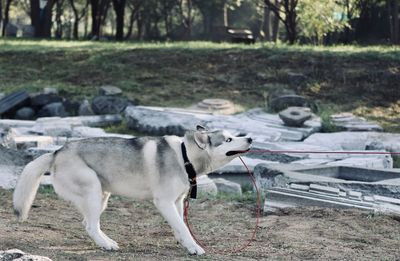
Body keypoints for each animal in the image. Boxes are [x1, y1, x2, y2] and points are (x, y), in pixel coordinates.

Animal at [14, 125, 252, 253]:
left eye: (234, 136)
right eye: (228, 139)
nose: (250, 137)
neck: (185, 156)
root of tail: (57, 151)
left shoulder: (176, 202)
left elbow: (180, 226)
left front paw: (183, 243)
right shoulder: (164, 202)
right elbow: (183, 227)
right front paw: (194, 248)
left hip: (102, 196)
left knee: (89, 224)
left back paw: (107, 241)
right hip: (93, 191)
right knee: (90, 226)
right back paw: (106, 245)